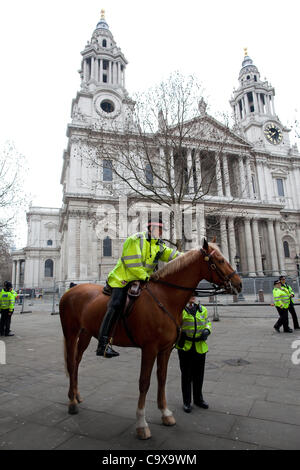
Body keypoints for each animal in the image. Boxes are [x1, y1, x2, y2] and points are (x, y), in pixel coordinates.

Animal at [59, 241, 241, 438]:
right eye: (220, 260)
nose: (239, 283)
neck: (165, 297)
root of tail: (71, 290)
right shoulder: (149, 348)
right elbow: (144, 382)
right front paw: (141, 424)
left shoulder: (165, 348)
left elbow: (162, 378)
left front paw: (166, 414)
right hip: (70, 332)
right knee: (71, 363)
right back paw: (72, 403)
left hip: (86, 333)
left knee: (77, 361)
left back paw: (76, 395)